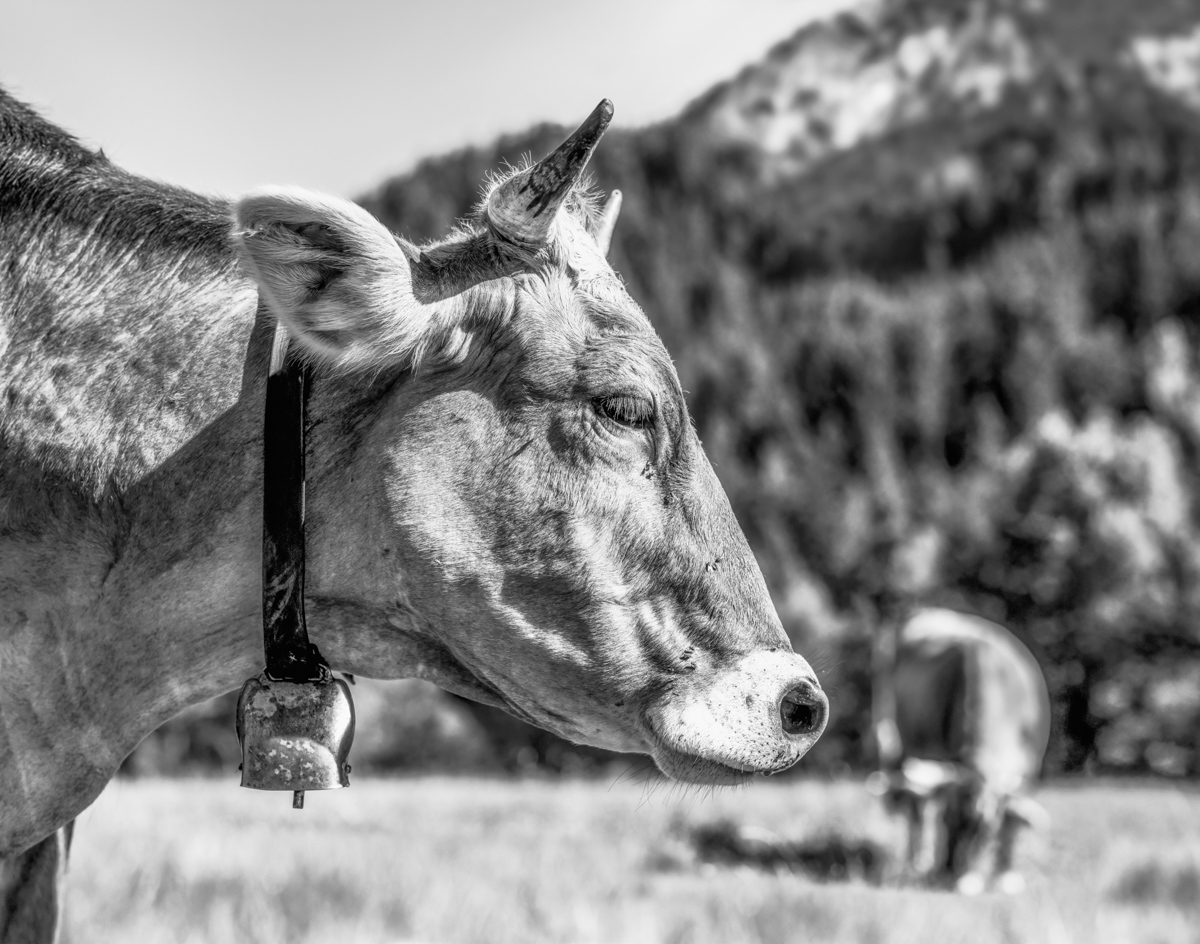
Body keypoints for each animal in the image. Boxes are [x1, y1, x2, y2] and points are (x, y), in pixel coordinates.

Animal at [868, 607, 1050, 894]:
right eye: (952, 823)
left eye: (987, 830)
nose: (961, 883)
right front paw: (939, 868)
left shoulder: (1030, 765)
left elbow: (1011, 818)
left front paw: (1007, 875)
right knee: (916, 809)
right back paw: (917, 862)